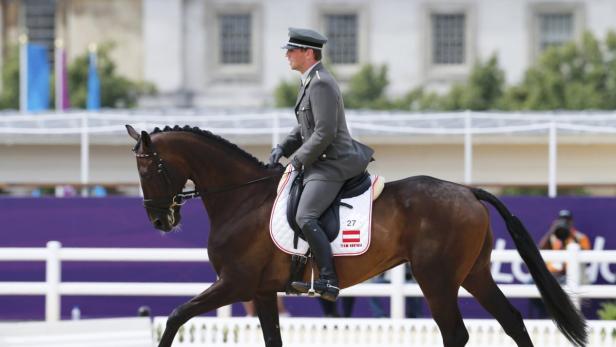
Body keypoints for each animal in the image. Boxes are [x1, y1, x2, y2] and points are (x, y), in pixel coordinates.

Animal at [125, 123, 588, 346]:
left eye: (150, 168)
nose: (160, 221)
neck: (242, 198)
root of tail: (468, 191)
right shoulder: (260, 291)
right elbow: (272, 339)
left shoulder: (233, 284)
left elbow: (175, 317)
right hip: (474, 274)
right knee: (513, 322)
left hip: (437, 279)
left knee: (456, 334)